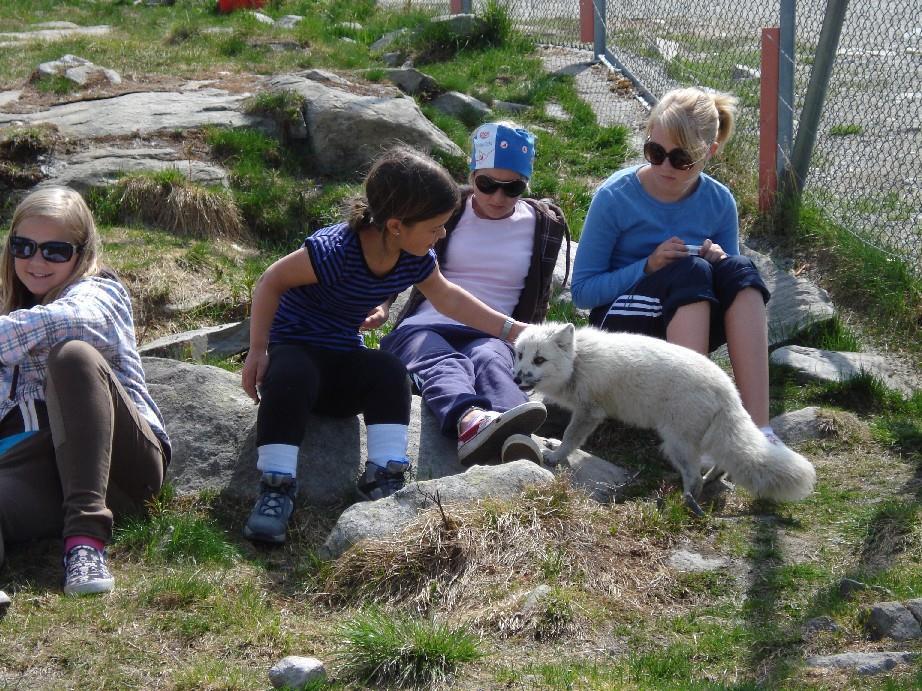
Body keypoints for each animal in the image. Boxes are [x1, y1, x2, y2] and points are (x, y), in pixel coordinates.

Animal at [512, 324, 816, 508]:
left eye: (539, 360)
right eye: (519, 354)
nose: (516, 378)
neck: (578, 360)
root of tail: (729, 391)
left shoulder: (589, 412)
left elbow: (571, 438)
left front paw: (555, 455)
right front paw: (552, 446)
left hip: (675, 441)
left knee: (694, 475)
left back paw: (686, 502)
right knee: (721, 463)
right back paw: (709, 481)